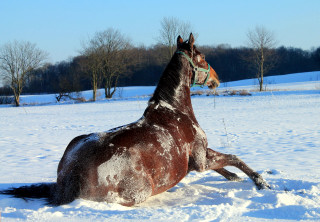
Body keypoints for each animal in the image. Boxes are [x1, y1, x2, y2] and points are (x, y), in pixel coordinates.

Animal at [0, 33, 270, 207]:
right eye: (202, 57)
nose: (217, 79)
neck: (175, 109)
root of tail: (71, 174)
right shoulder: (201, 161)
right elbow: (233, 157)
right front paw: (261, 182)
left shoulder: (200, 157)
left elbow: (227, 162)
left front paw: (235, 178)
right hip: (138, 193)